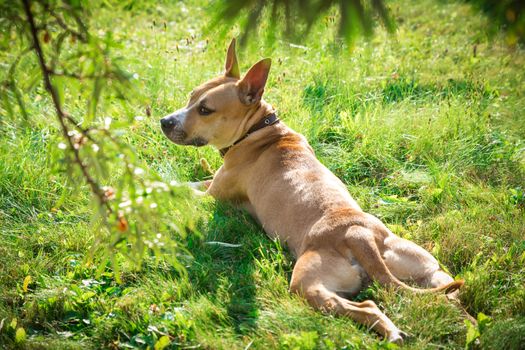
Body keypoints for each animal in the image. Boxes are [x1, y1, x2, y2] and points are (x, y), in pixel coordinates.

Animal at [160, 40, 462, 342]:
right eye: (190, 97)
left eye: (205, 110)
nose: (165, 121)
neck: (259, 129)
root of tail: (356, 232)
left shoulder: (212, 196)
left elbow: (179, 189)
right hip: (426, 267)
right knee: (448, 295)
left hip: (307, 282)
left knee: (364, 305)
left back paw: (389, 331)